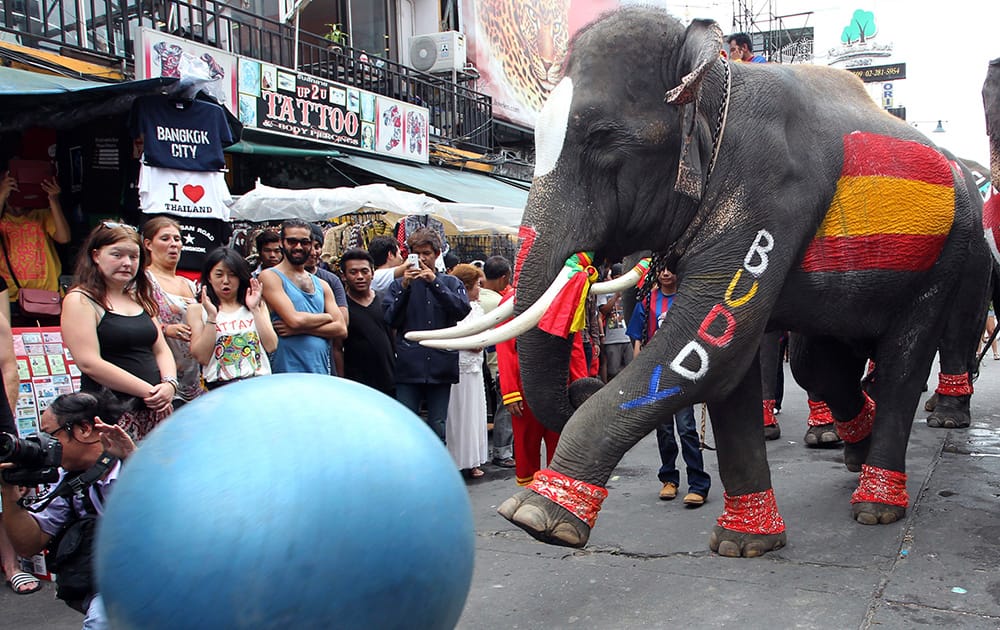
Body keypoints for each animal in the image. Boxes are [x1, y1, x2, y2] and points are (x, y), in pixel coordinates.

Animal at [418, 6, 988, 556]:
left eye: (602, 137)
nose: (584, 382)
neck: (717, 78)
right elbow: (727, 368)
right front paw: (743, 544)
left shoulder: (768, 192)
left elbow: (706, 344)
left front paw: (537, 518)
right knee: (817, 362)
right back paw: (854, 452)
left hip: (952, 250)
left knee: (902, 362)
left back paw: (878, 502)